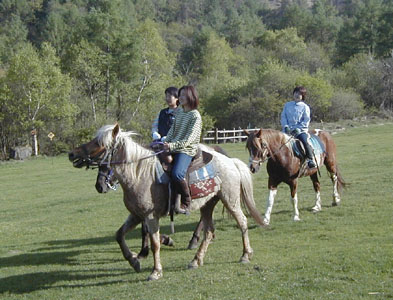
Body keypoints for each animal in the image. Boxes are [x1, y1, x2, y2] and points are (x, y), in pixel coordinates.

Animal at [69, 124, 264, 282]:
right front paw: (133, 260)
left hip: (230, 200)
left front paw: (155, 271)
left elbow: (155, 243)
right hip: (208, 204)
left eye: (98, 143)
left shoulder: (150, 216)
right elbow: (119, 235)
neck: (140, 174)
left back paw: (245, 255)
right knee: (209, 231)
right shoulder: (136, 215)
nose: (72, 154)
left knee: (242, 222)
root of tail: (231, 162)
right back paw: (196, 260)